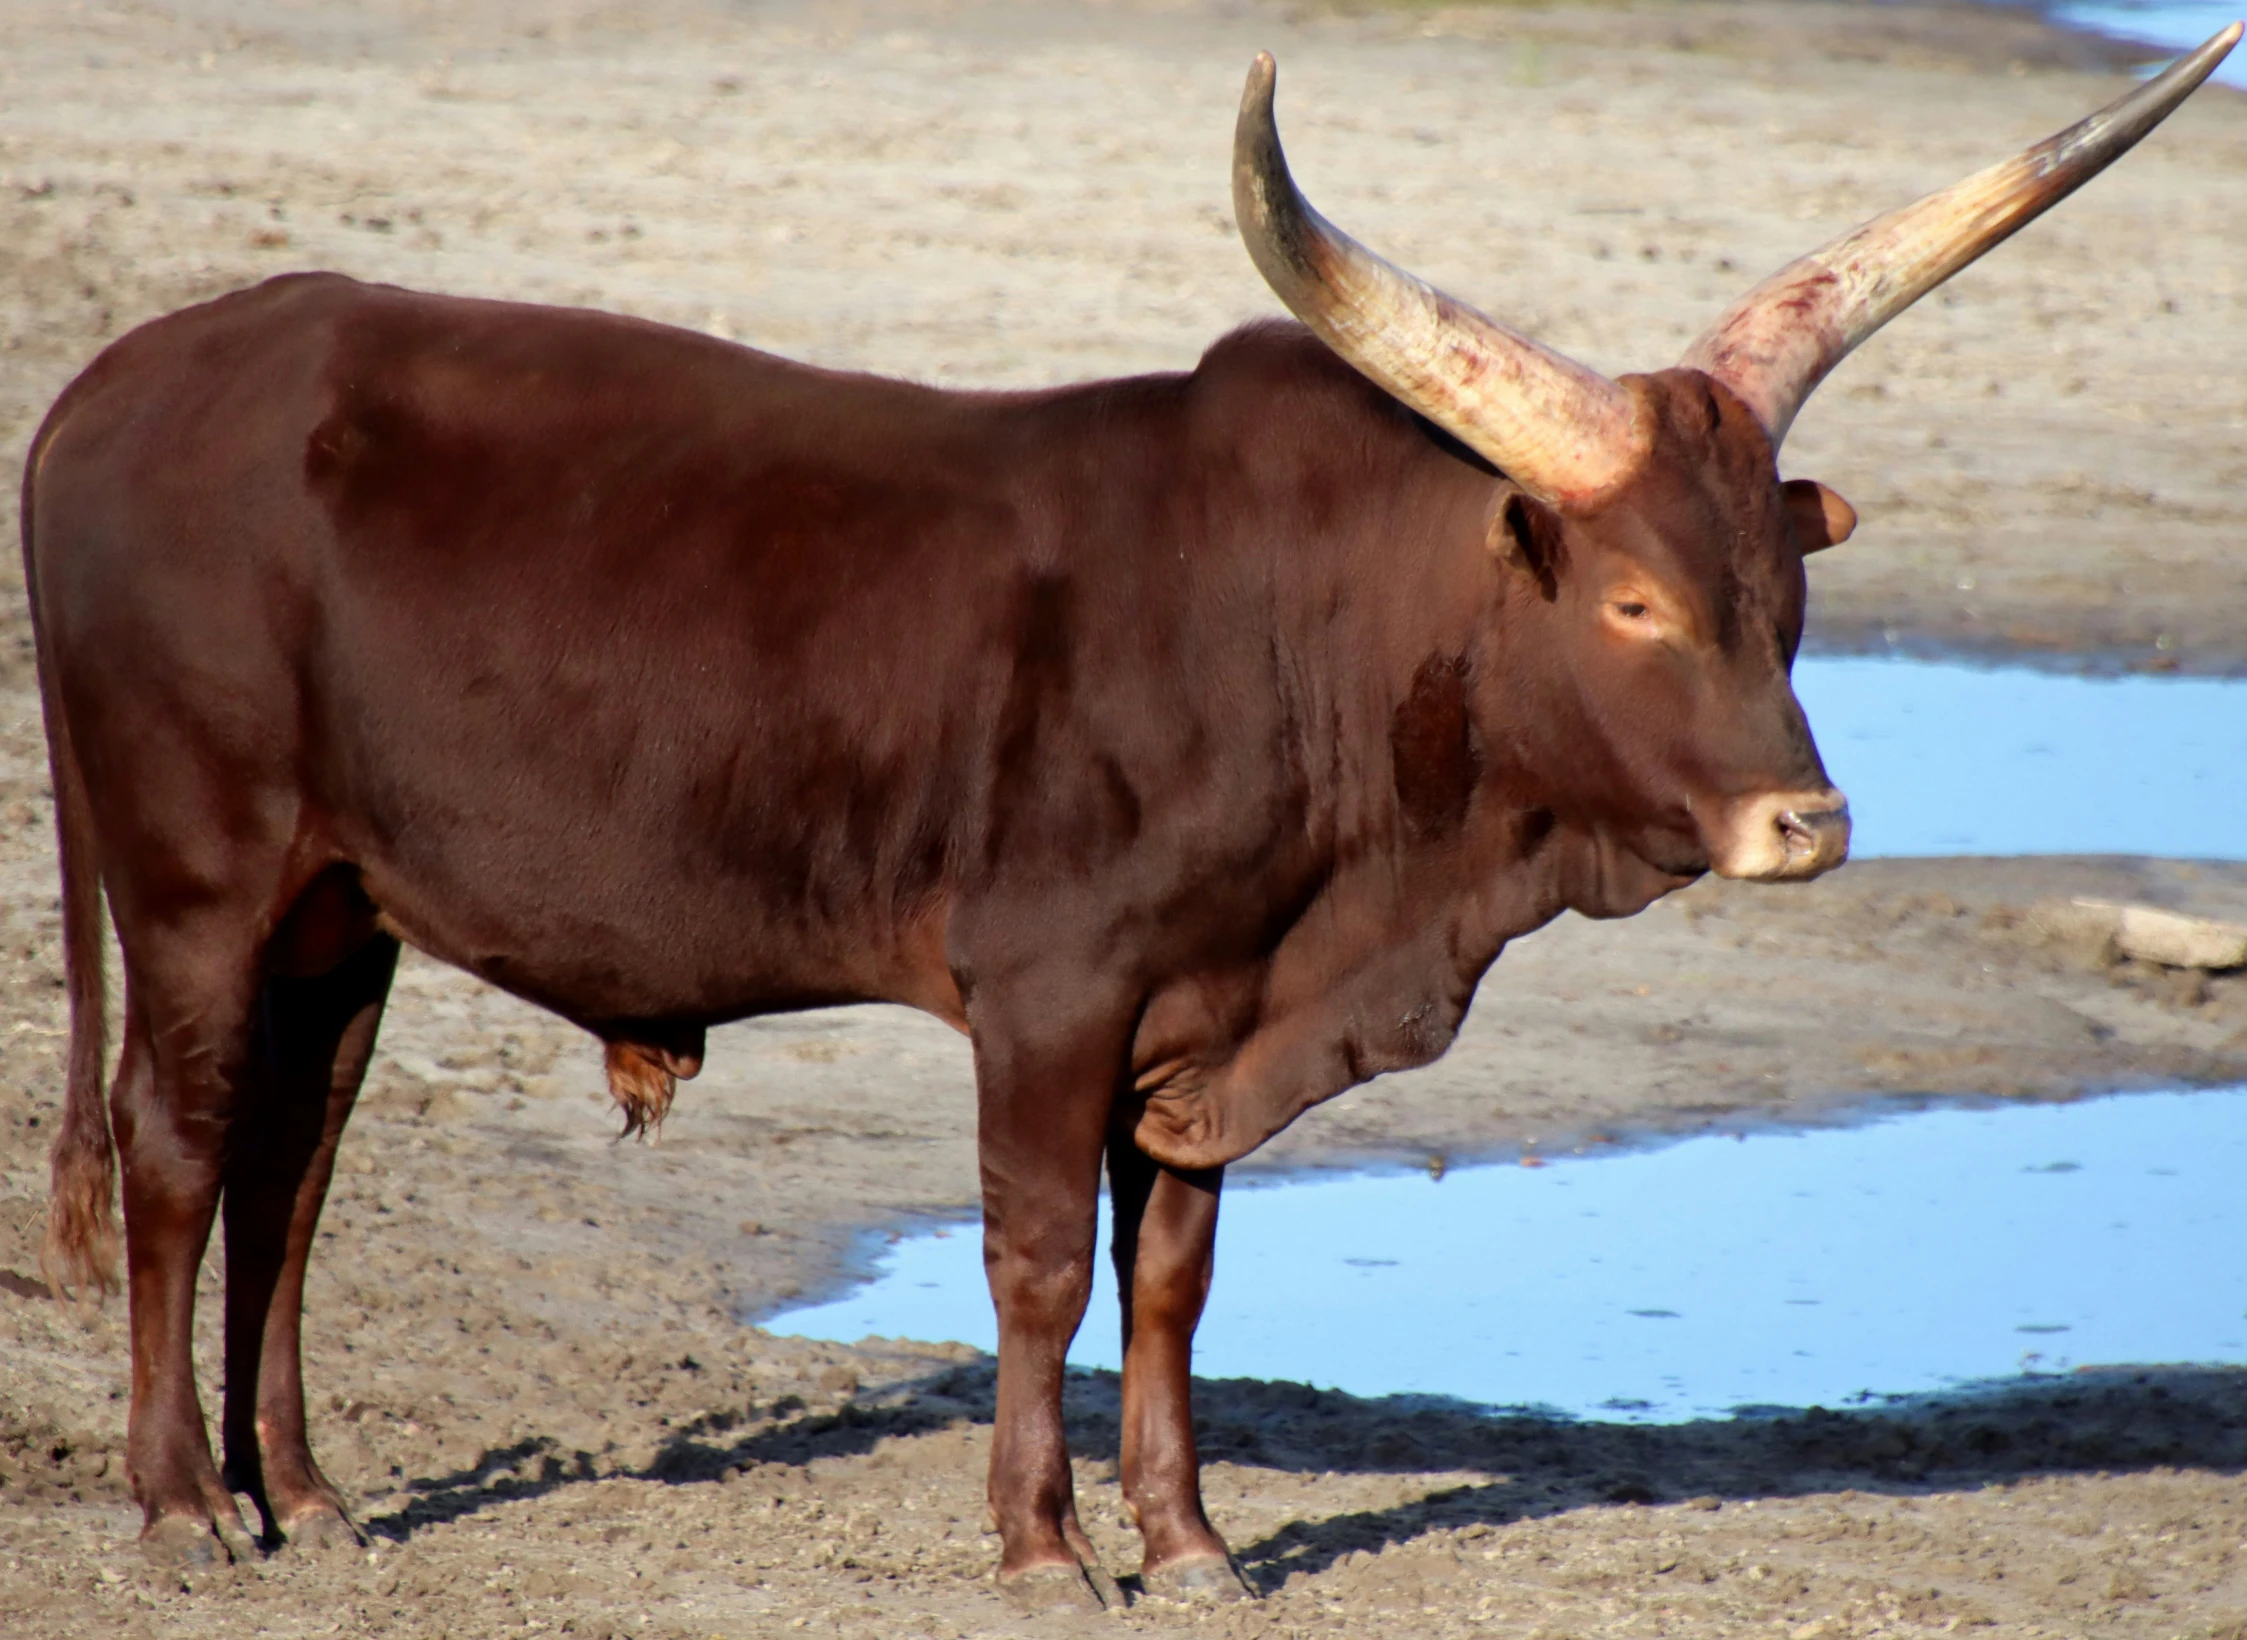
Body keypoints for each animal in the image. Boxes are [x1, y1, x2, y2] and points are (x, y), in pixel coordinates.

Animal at [26, 32, 2238, 1599]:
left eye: (1782, 592)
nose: (1807, 823)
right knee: (177, 1144)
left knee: (294, 1167)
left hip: (343, 908)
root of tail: (130, 380)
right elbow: (1035, 1264)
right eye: (1627, 600)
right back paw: (181, 1507)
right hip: (201, 874)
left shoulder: (1206, 1016)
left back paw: (308, 1497)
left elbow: (1171, 1271)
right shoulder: (1048, 994)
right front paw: (1039, 1543)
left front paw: (1189, 1541)